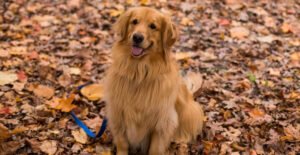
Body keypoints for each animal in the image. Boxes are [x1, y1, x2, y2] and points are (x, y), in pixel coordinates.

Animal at [103, 6, 204, 154]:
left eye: (153, 26)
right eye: (134, 21)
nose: (137, 37)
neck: (139, 72)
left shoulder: (162, 122)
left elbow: (155, 148)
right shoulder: (118, 114)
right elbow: (122, 143)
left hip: (189, 111)